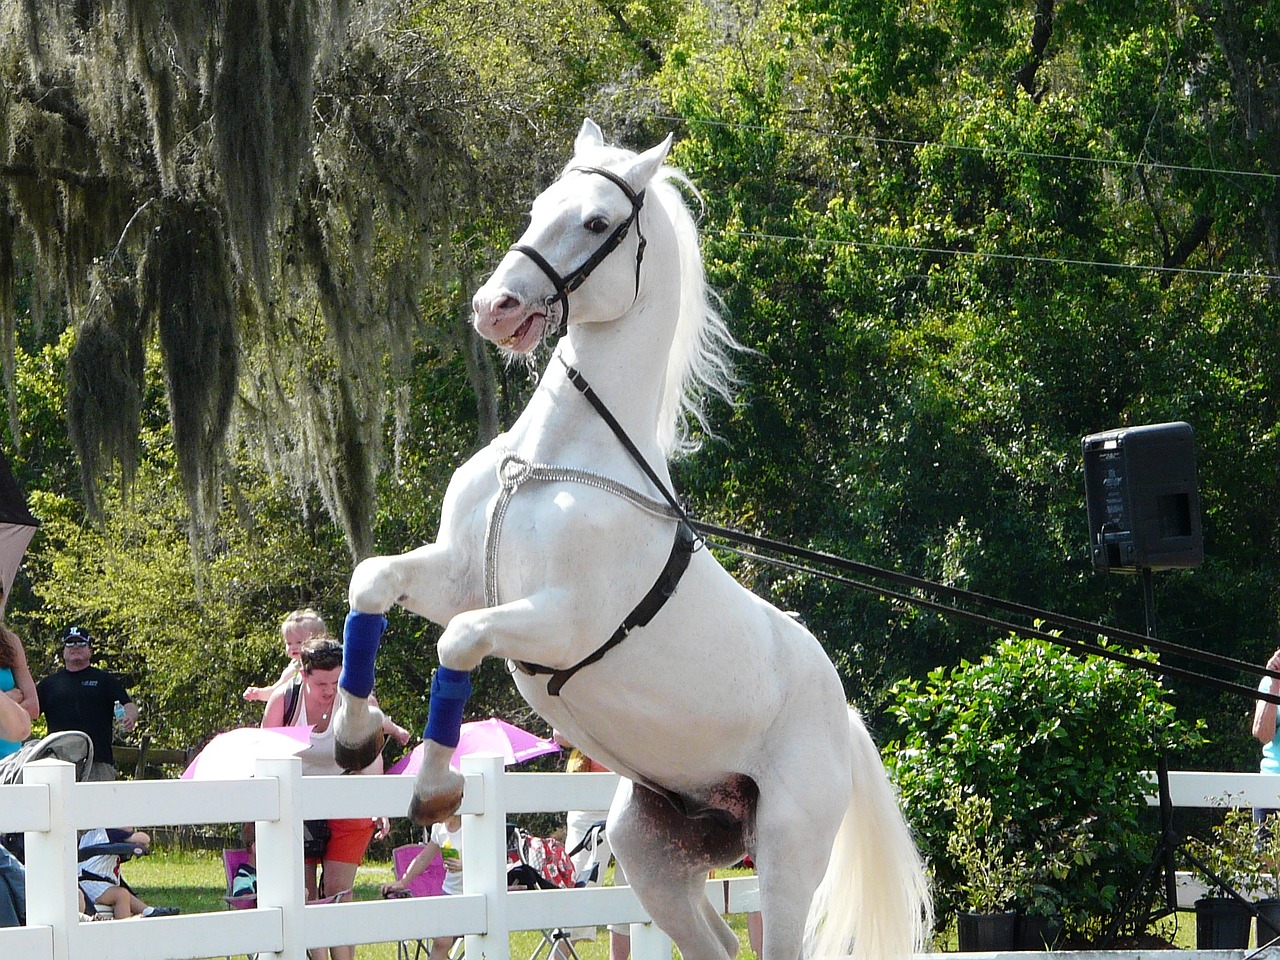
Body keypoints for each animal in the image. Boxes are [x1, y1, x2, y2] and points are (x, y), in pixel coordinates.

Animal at [330, 118, 931, 960]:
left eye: (595, 223)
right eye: (540, 204)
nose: (494, 307)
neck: (551, 462)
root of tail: (843, 718)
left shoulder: (556, 619)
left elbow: (459, 640)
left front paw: (435, 787)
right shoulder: (456, 574)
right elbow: (373, 582)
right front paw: (352, 740)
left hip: (786, 859)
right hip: (652, 851)